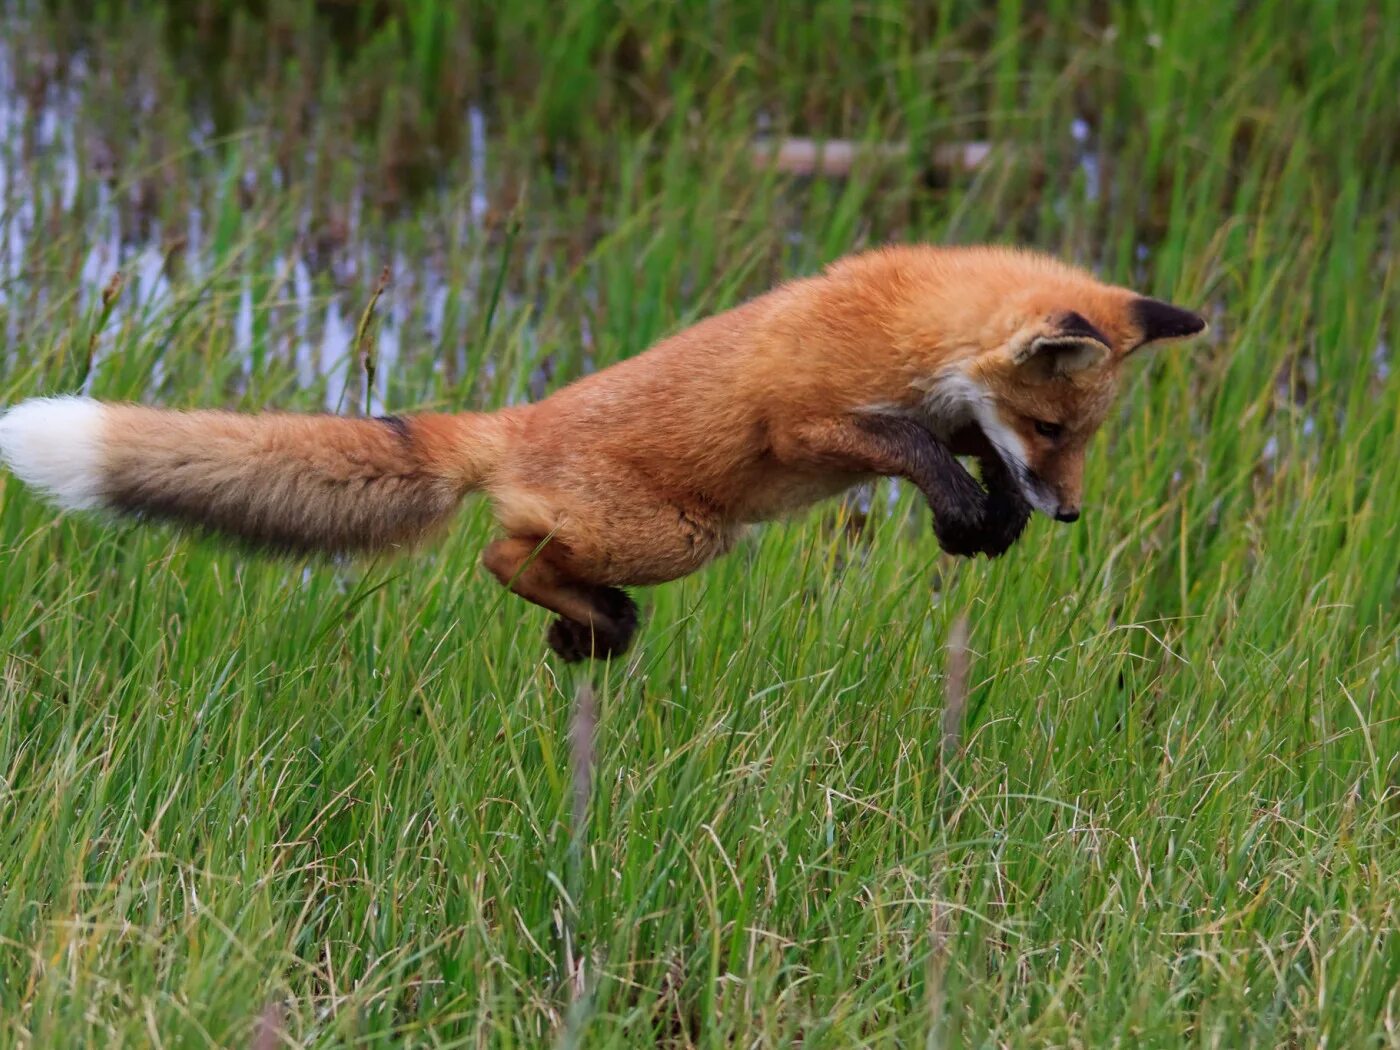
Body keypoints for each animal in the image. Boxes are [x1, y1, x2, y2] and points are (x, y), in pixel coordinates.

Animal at [0, 242, 1204, 660]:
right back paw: (591, 628)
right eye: (1053, 429)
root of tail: (506, 421)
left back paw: (587, 639)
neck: (909, 330)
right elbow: (910, 445)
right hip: (681, 534)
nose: (1069, 513)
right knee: (505, 557)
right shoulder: (816, 421)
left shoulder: (952, 423)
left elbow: (954, 459)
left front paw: (984, 526)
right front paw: (970, 514)